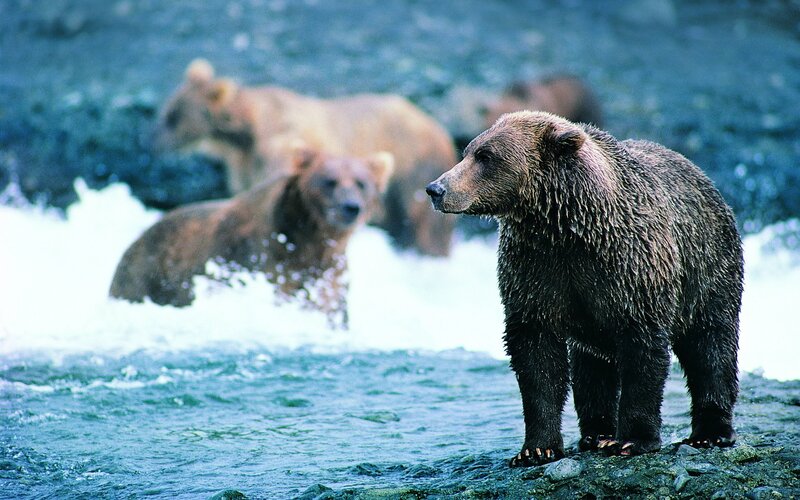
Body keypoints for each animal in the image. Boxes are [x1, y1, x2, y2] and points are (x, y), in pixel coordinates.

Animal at [109, 147, 393, 327]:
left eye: (361, 183)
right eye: (329, 181)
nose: (350, 207)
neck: (310, 238)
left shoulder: (329, 272)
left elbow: (329, 306)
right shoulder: (262, 258)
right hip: (146, 278)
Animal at [153, 58, 457, 257]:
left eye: (173, 116)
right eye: (168, 110)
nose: (152, 141)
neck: (245, 135)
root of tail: (438, 126)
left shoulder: (279, 148)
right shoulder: (247, 164)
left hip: (414, 169)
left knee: (425, 225)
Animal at [426, 111, 743, 466]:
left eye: (486, 156)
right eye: (468, 151)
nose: (436, 189)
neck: (565, 225)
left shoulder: (631, 268)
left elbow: (643, 352)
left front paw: (633, 440)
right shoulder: (536, 269)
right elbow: (536, 357)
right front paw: (536, 448)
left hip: (708, 270)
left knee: (710, 346)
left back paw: (710, 432)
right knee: (591, 367)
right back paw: (596, 433)